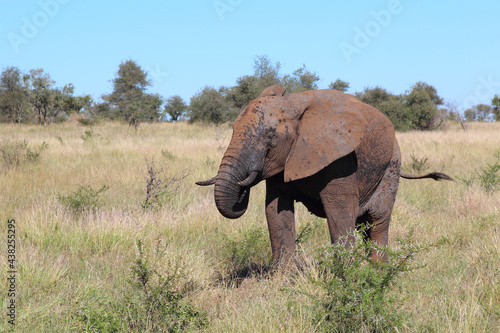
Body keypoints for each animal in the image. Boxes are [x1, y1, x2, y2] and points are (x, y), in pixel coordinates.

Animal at [196, 86, 454, 268]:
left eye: (270, 137)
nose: (242, 186)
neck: (294, 104)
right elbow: (276, 212)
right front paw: (282, 278)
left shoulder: (339, 158)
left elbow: (339, 213)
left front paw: (348, 281)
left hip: (390, 165)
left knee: (377, 221)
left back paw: (378, 273)